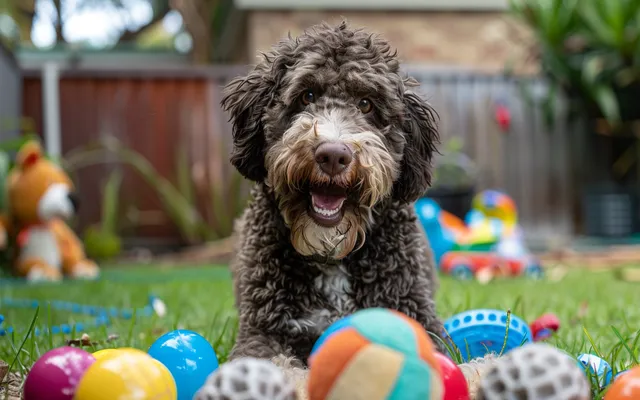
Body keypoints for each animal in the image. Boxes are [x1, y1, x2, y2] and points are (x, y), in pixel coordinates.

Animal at [222, 21, 492, 396]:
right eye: (307, 96)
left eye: (366, 104)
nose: (333, 154)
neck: (333, 257)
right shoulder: (263, 331)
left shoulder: (420, 319)